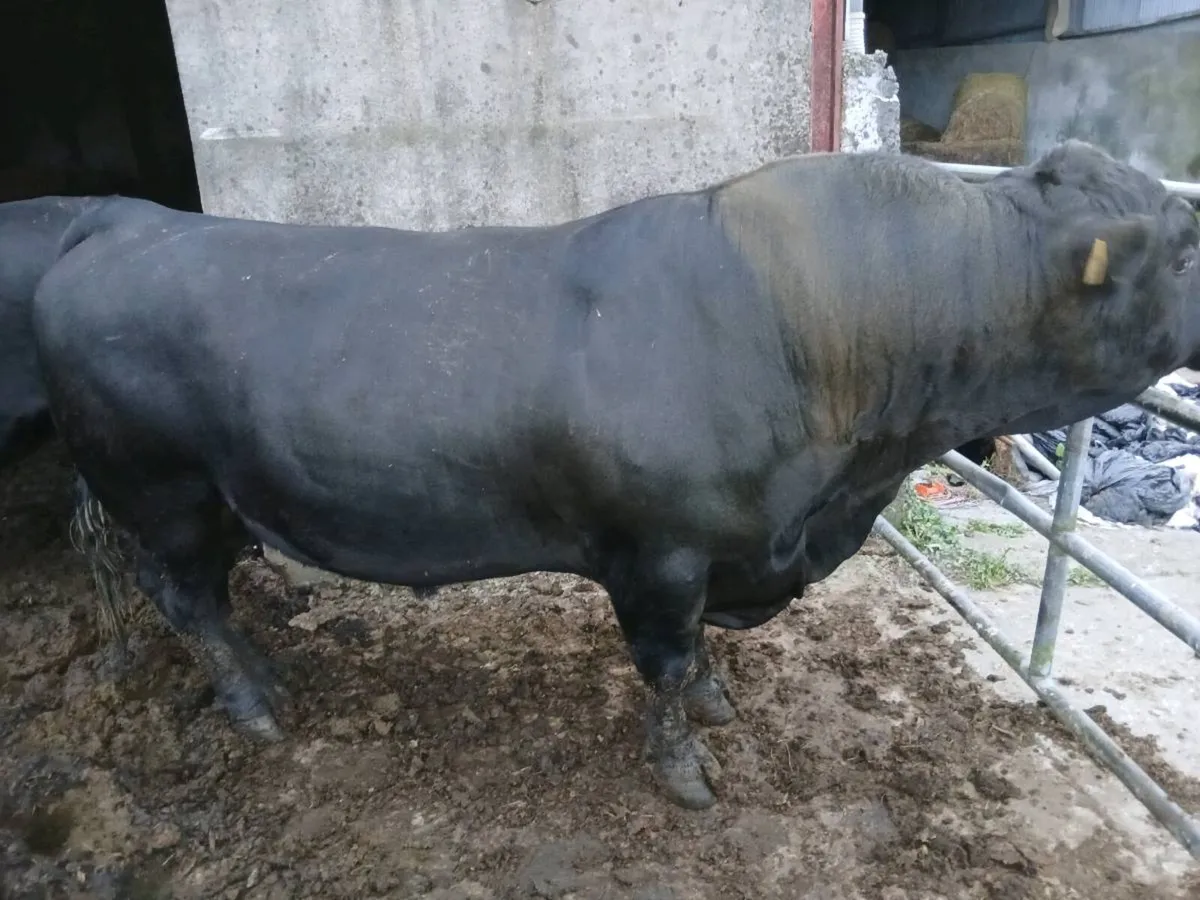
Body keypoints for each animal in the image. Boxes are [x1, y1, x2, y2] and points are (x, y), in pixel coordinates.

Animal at [31, 140, 1200, 810]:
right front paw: (688, 771)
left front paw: (724, 706)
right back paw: (256, 701)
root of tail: (122, 221)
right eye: (1185, 245)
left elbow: (702, 668)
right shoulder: (660, 557)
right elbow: (668, 670)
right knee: (188, 602)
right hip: (161, 499)